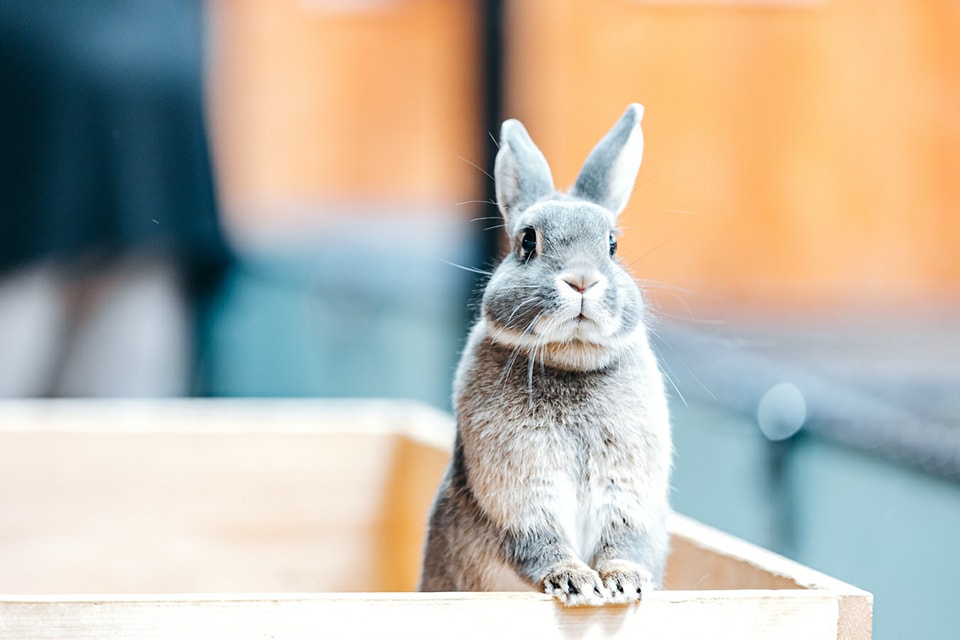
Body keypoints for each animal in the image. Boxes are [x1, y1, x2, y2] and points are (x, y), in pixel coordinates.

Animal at [420, 104, 676, 604]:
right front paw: (574, 580)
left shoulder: (628, 490)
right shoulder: (518, 494)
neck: (569, 359)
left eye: (613, 244)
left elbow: (624, 541)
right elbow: (539, 540)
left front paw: (624, 582)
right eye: (527, 242)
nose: (582, 281)